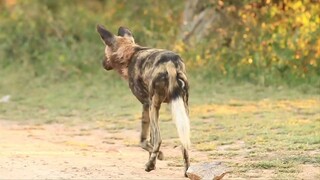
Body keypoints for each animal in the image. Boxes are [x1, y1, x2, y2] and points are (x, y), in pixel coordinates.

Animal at [96, 24, 191, 176]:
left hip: (154, 107)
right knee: (184, 143)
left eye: (105, 52)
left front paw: (156, 158)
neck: (129, 54)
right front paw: (155, 158)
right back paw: (187, 171)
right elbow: (150, 140)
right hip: (183, 107)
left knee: (159, 139)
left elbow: (143, 141)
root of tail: (171, 63)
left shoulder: (146, 104)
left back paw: (149, 165)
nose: (103, 63)